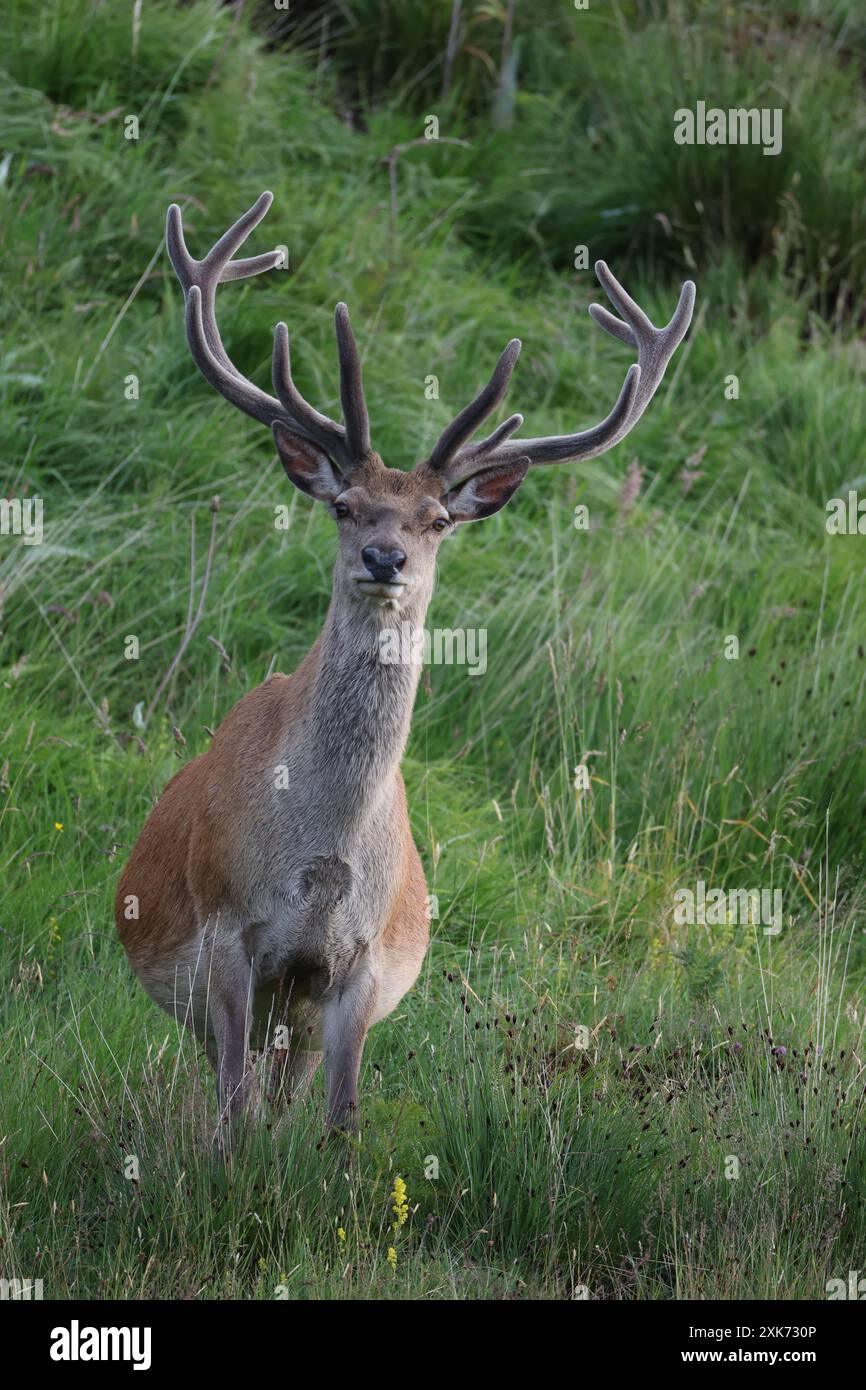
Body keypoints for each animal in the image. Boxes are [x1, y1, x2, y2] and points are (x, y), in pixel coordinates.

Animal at [116, 190, 697, 1134]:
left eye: (436, 519)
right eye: (346, 505)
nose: (384, 557)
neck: (318, 859)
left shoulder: (358, 969)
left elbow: (342, 1122)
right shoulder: (227, 935)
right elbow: (231, 1114)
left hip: (298, 1010)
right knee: (235, 1089)